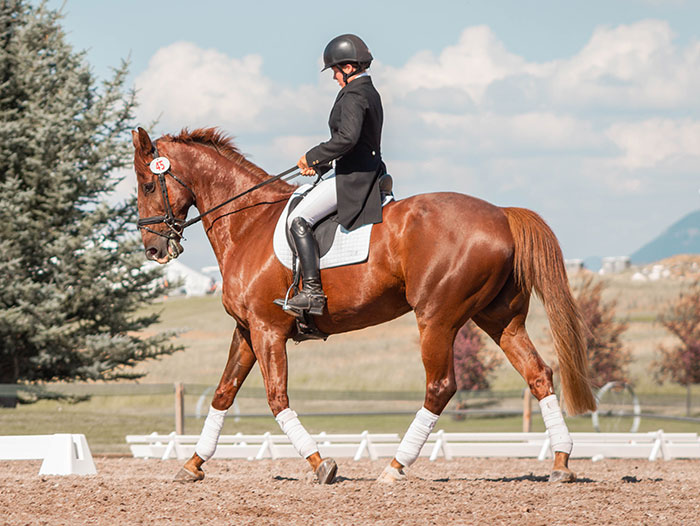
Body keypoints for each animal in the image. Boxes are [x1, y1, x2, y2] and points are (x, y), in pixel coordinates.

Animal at [132, 126, 596, 484]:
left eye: (148, 183)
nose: (153, 249)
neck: (248, 223)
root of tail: (501, 214)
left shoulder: (268, 330)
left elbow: (276, 398)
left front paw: (321, 464)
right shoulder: (247, 330)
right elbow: (224, 393)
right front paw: (192, 465)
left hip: (437, 318)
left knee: (440, 387)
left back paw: (394, 467)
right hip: (500, 319)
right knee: (538, 374)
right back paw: (561, 462)